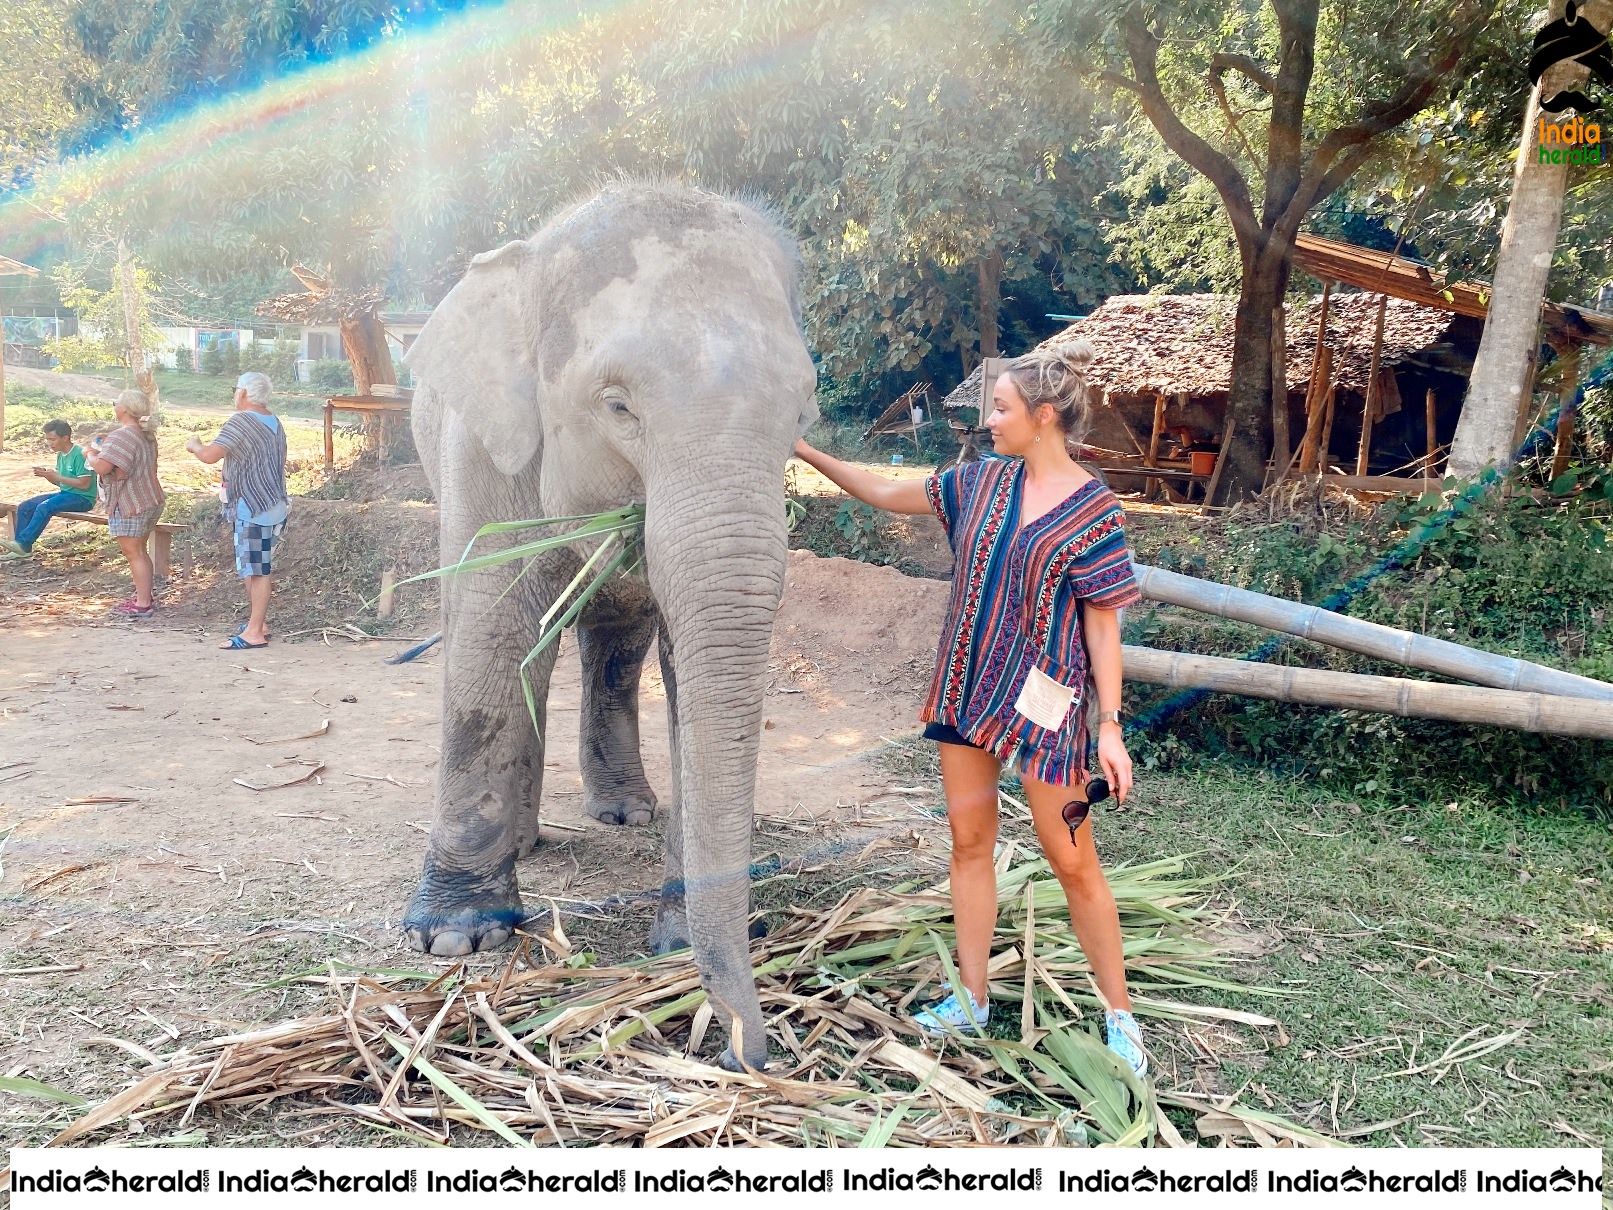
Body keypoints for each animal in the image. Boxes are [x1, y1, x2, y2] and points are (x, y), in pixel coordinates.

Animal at [396, 182, 812, 1071]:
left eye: (801, 408)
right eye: (616, 404)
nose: (744, 1055)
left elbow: (689, 667)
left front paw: (675, 940)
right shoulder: (483, 447)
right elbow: (489, 624)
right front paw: (453, 939)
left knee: (613, 639)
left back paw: (624, 814)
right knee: (525, 641)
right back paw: (523, 846)